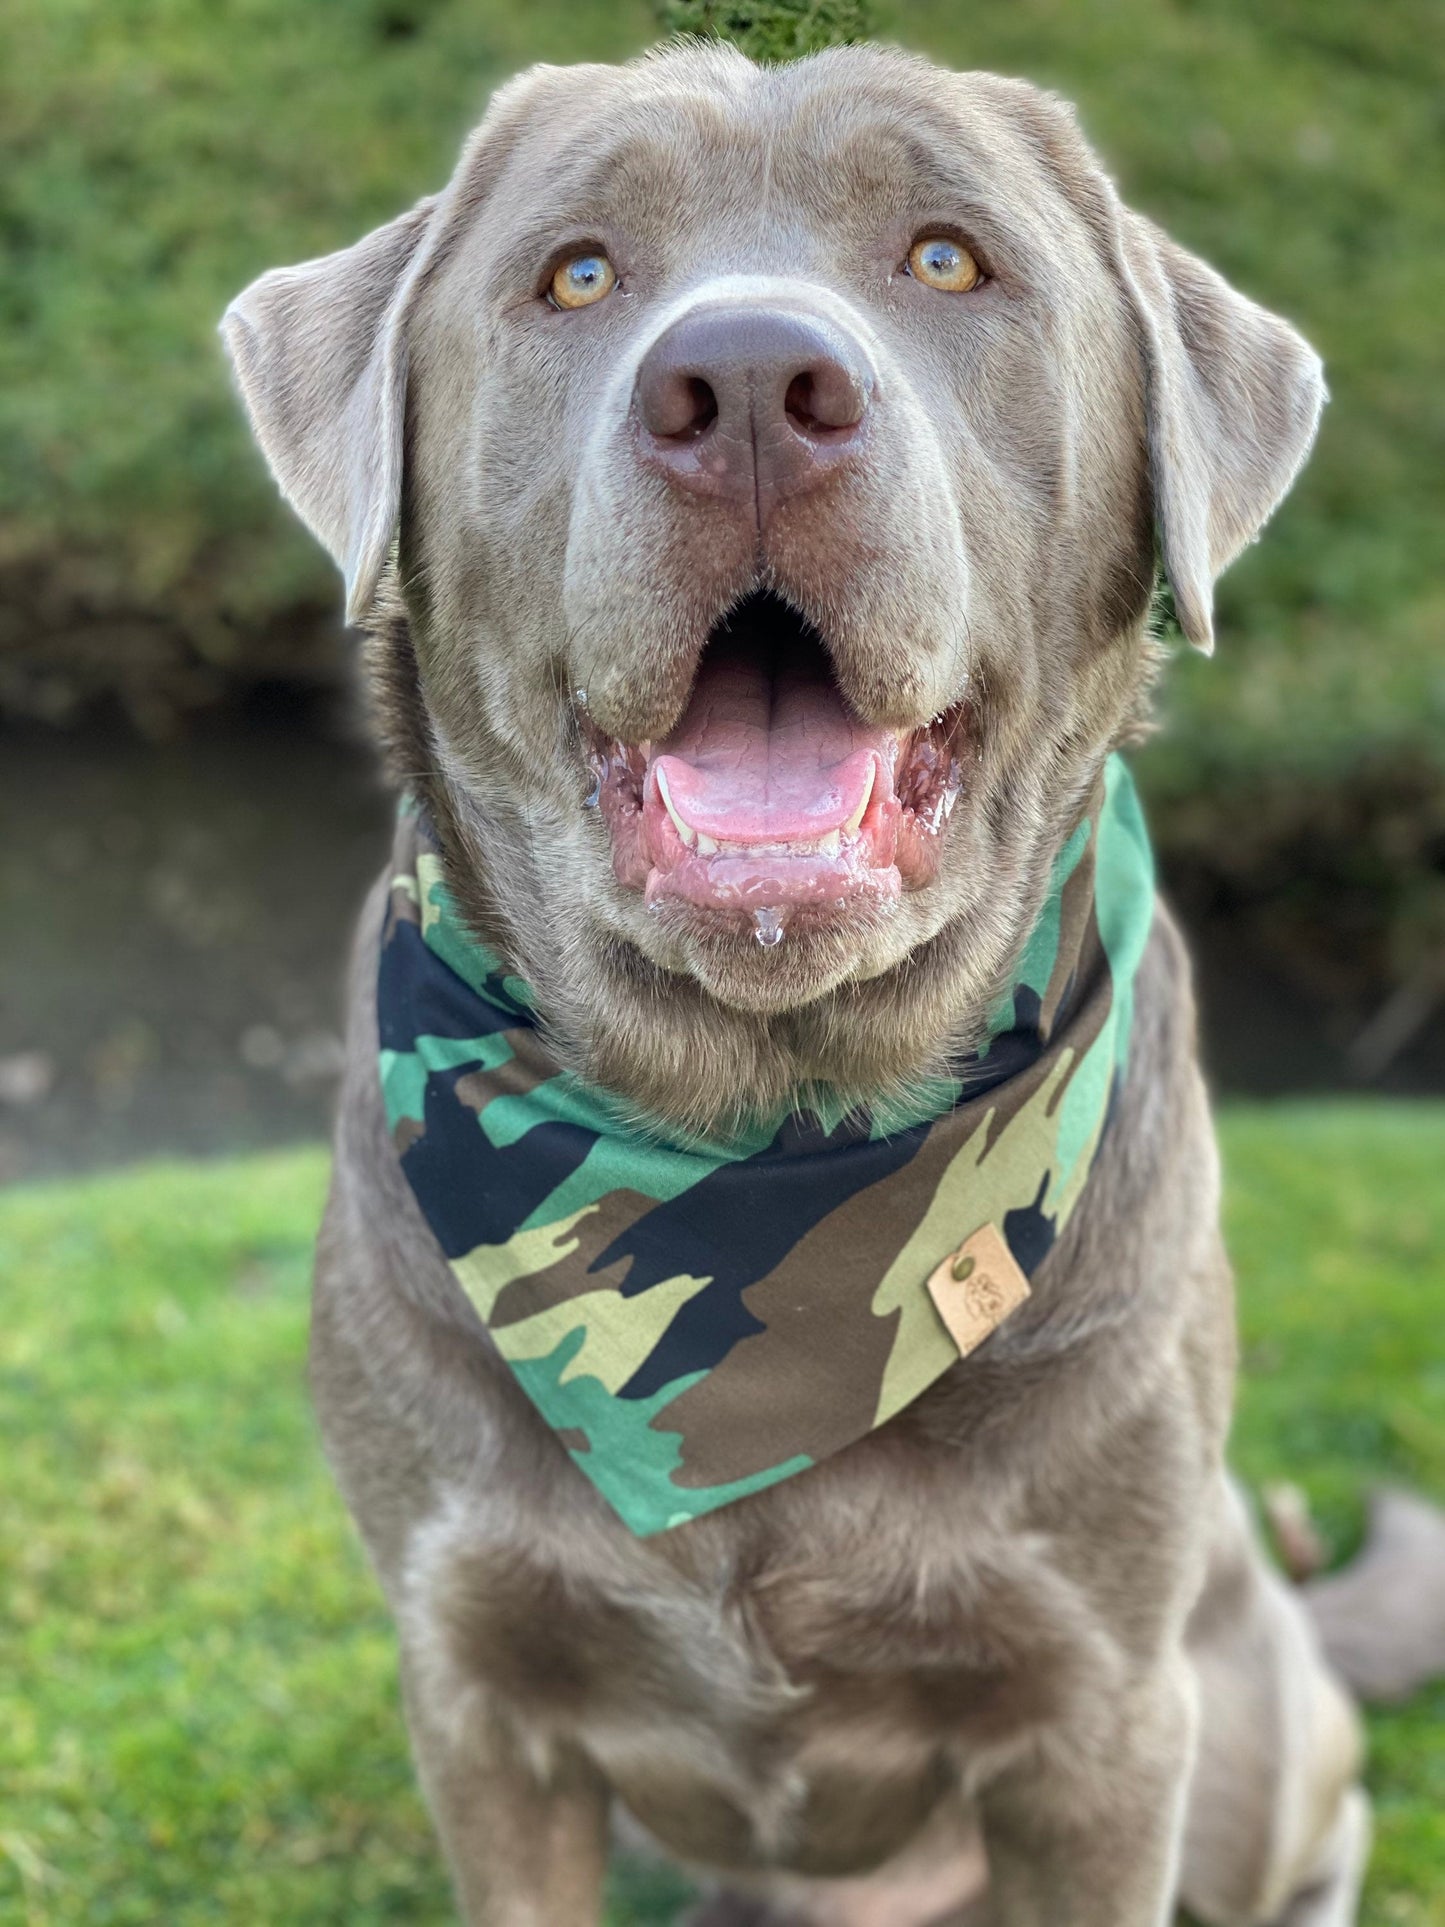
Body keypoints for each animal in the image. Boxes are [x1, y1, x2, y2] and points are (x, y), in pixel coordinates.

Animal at [214, 37, 1441, 1919]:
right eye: (577, 273)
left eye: (947, 257)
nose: (743, 384)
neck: (766, 1126)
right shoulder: (477, 1688)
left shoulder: (1103, 1718)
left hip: (1237, 1706)